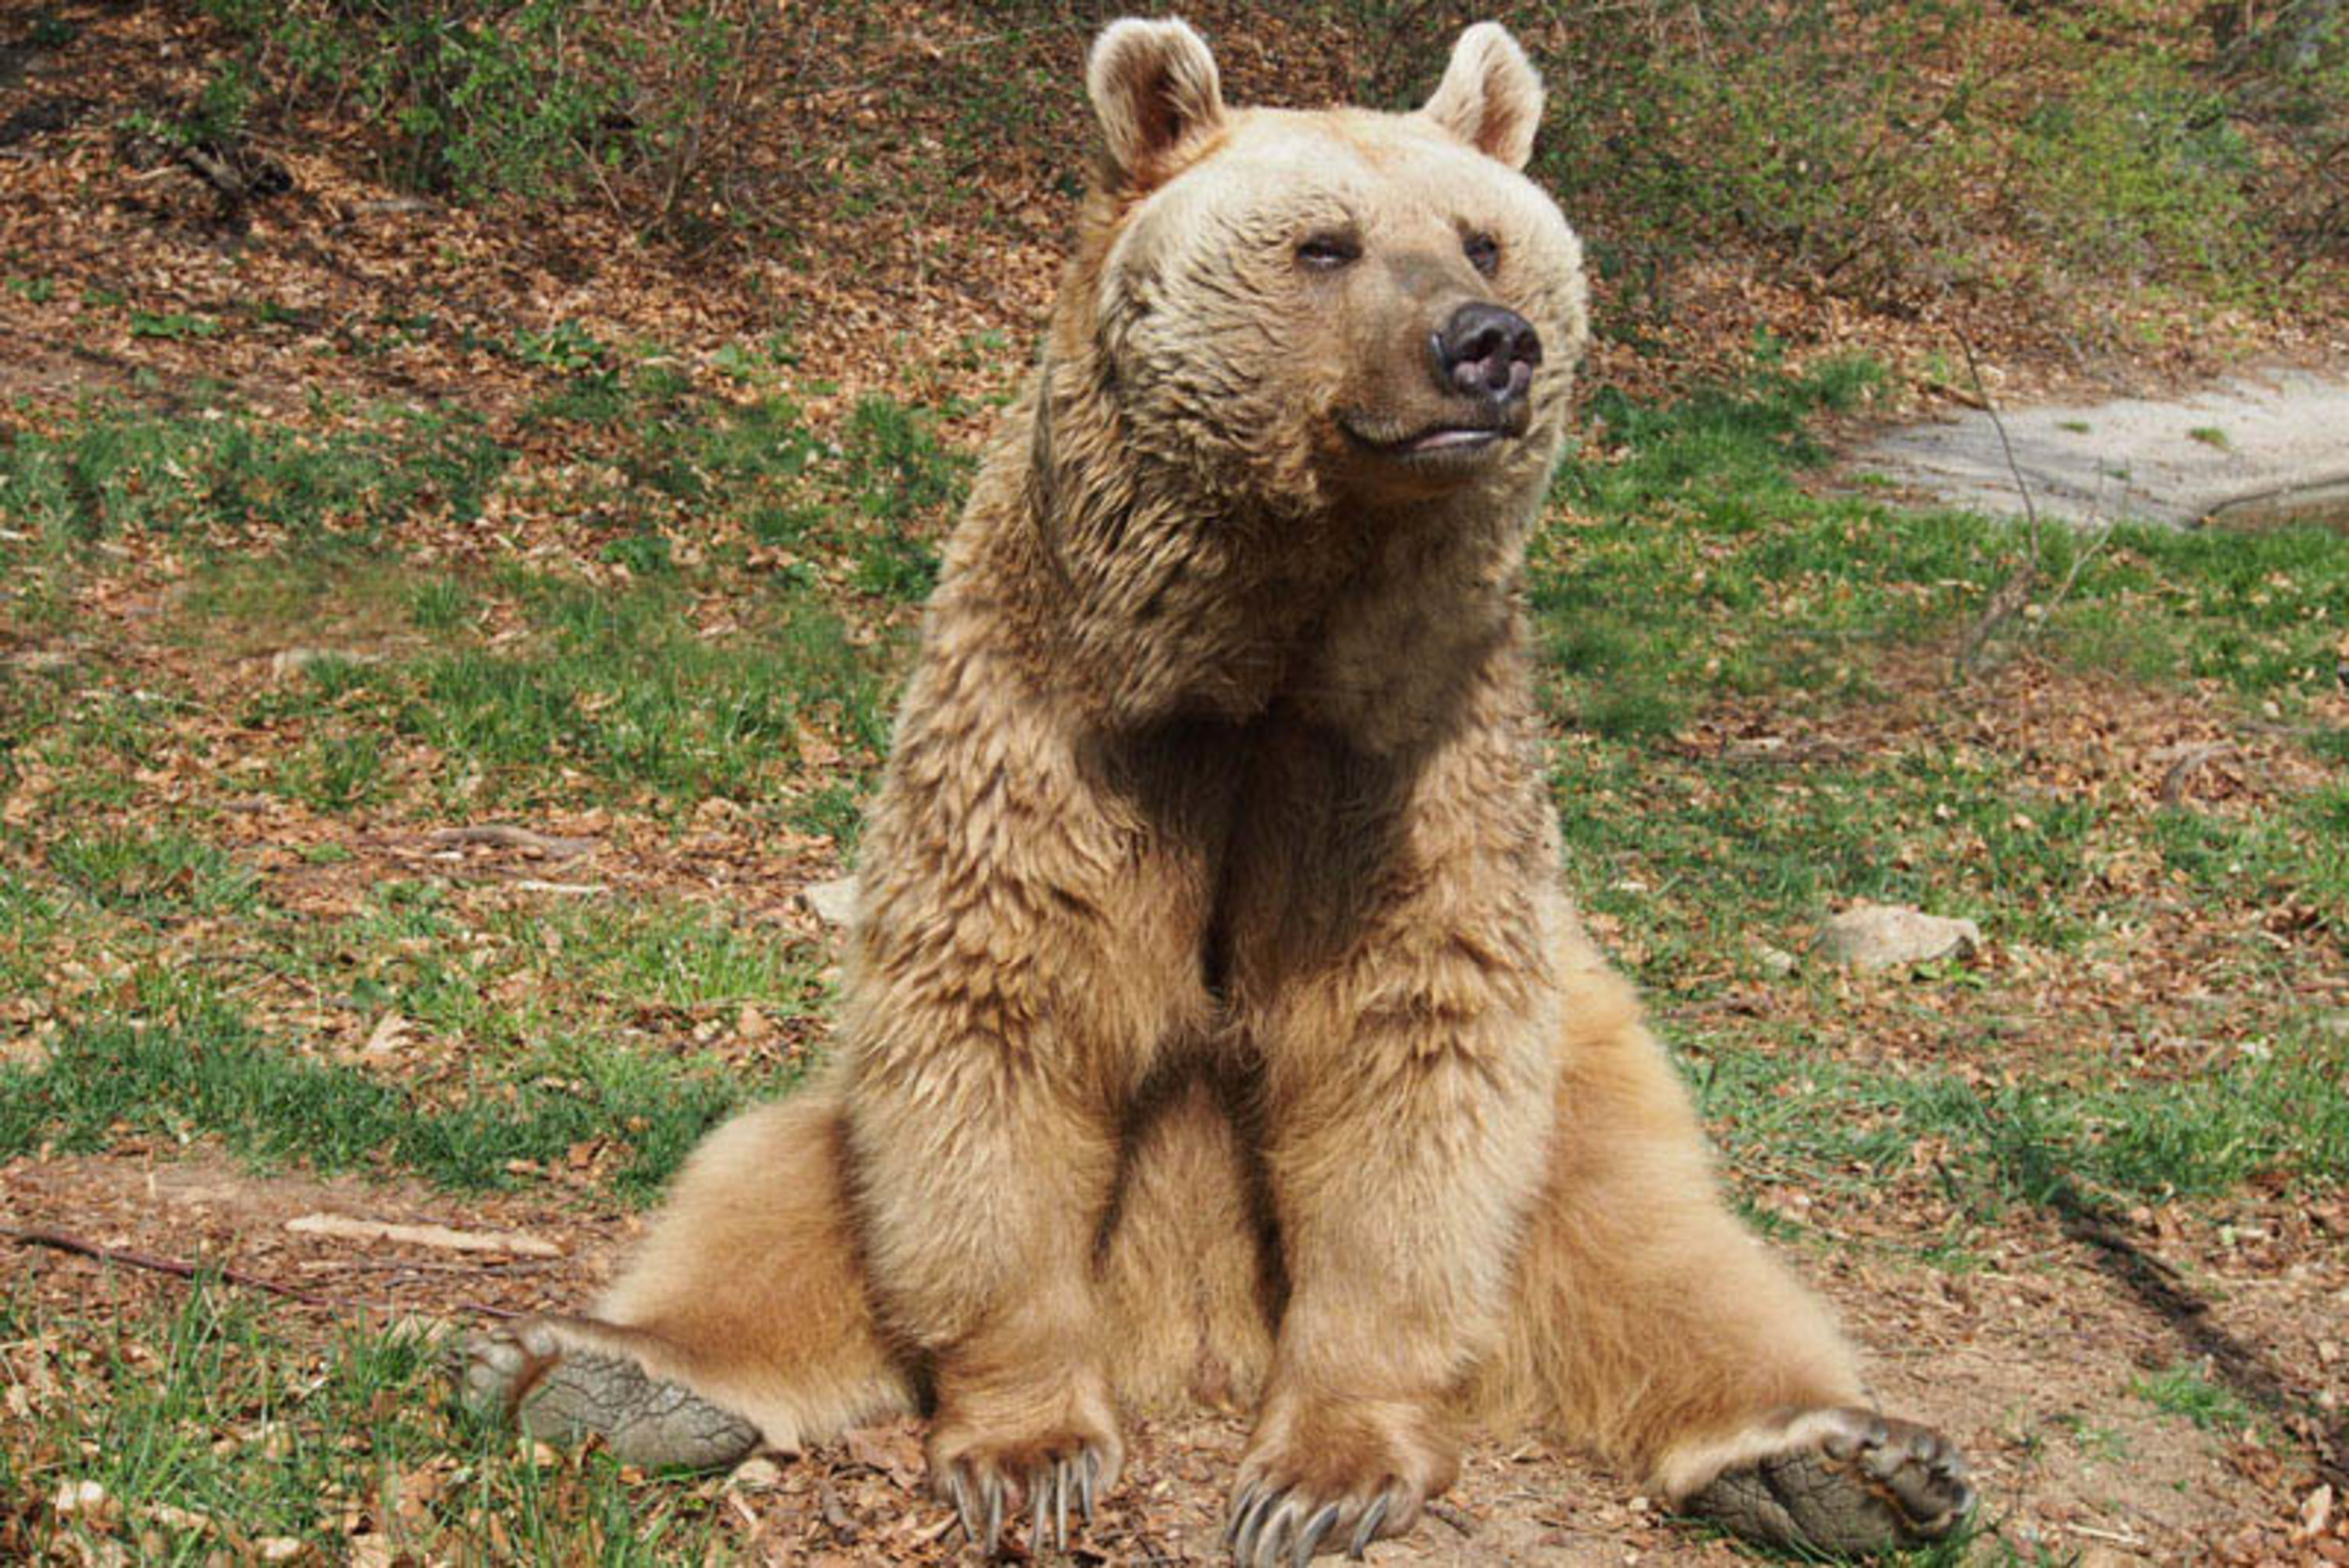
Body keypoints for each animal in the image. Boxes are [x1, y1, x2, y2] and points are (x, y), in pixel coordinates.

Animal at [464, 18, 1976, 1564]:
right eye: (1326, 242)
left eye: (1484, 240)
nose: (1487, 345)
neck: (1264, 641)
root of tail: (1189, 1335)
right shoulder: (1064, 731)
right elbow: (995, 1031)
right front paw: (1032, 1449)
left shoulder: (1402, 769)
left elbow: (1403, 1059)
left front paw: (1319, 1474)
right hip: (855, 1126)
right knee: (777, 1188)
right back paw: (594, 1371)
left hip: (1586, 1101)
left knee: (1664, 1254)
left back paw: (1841, 1457)